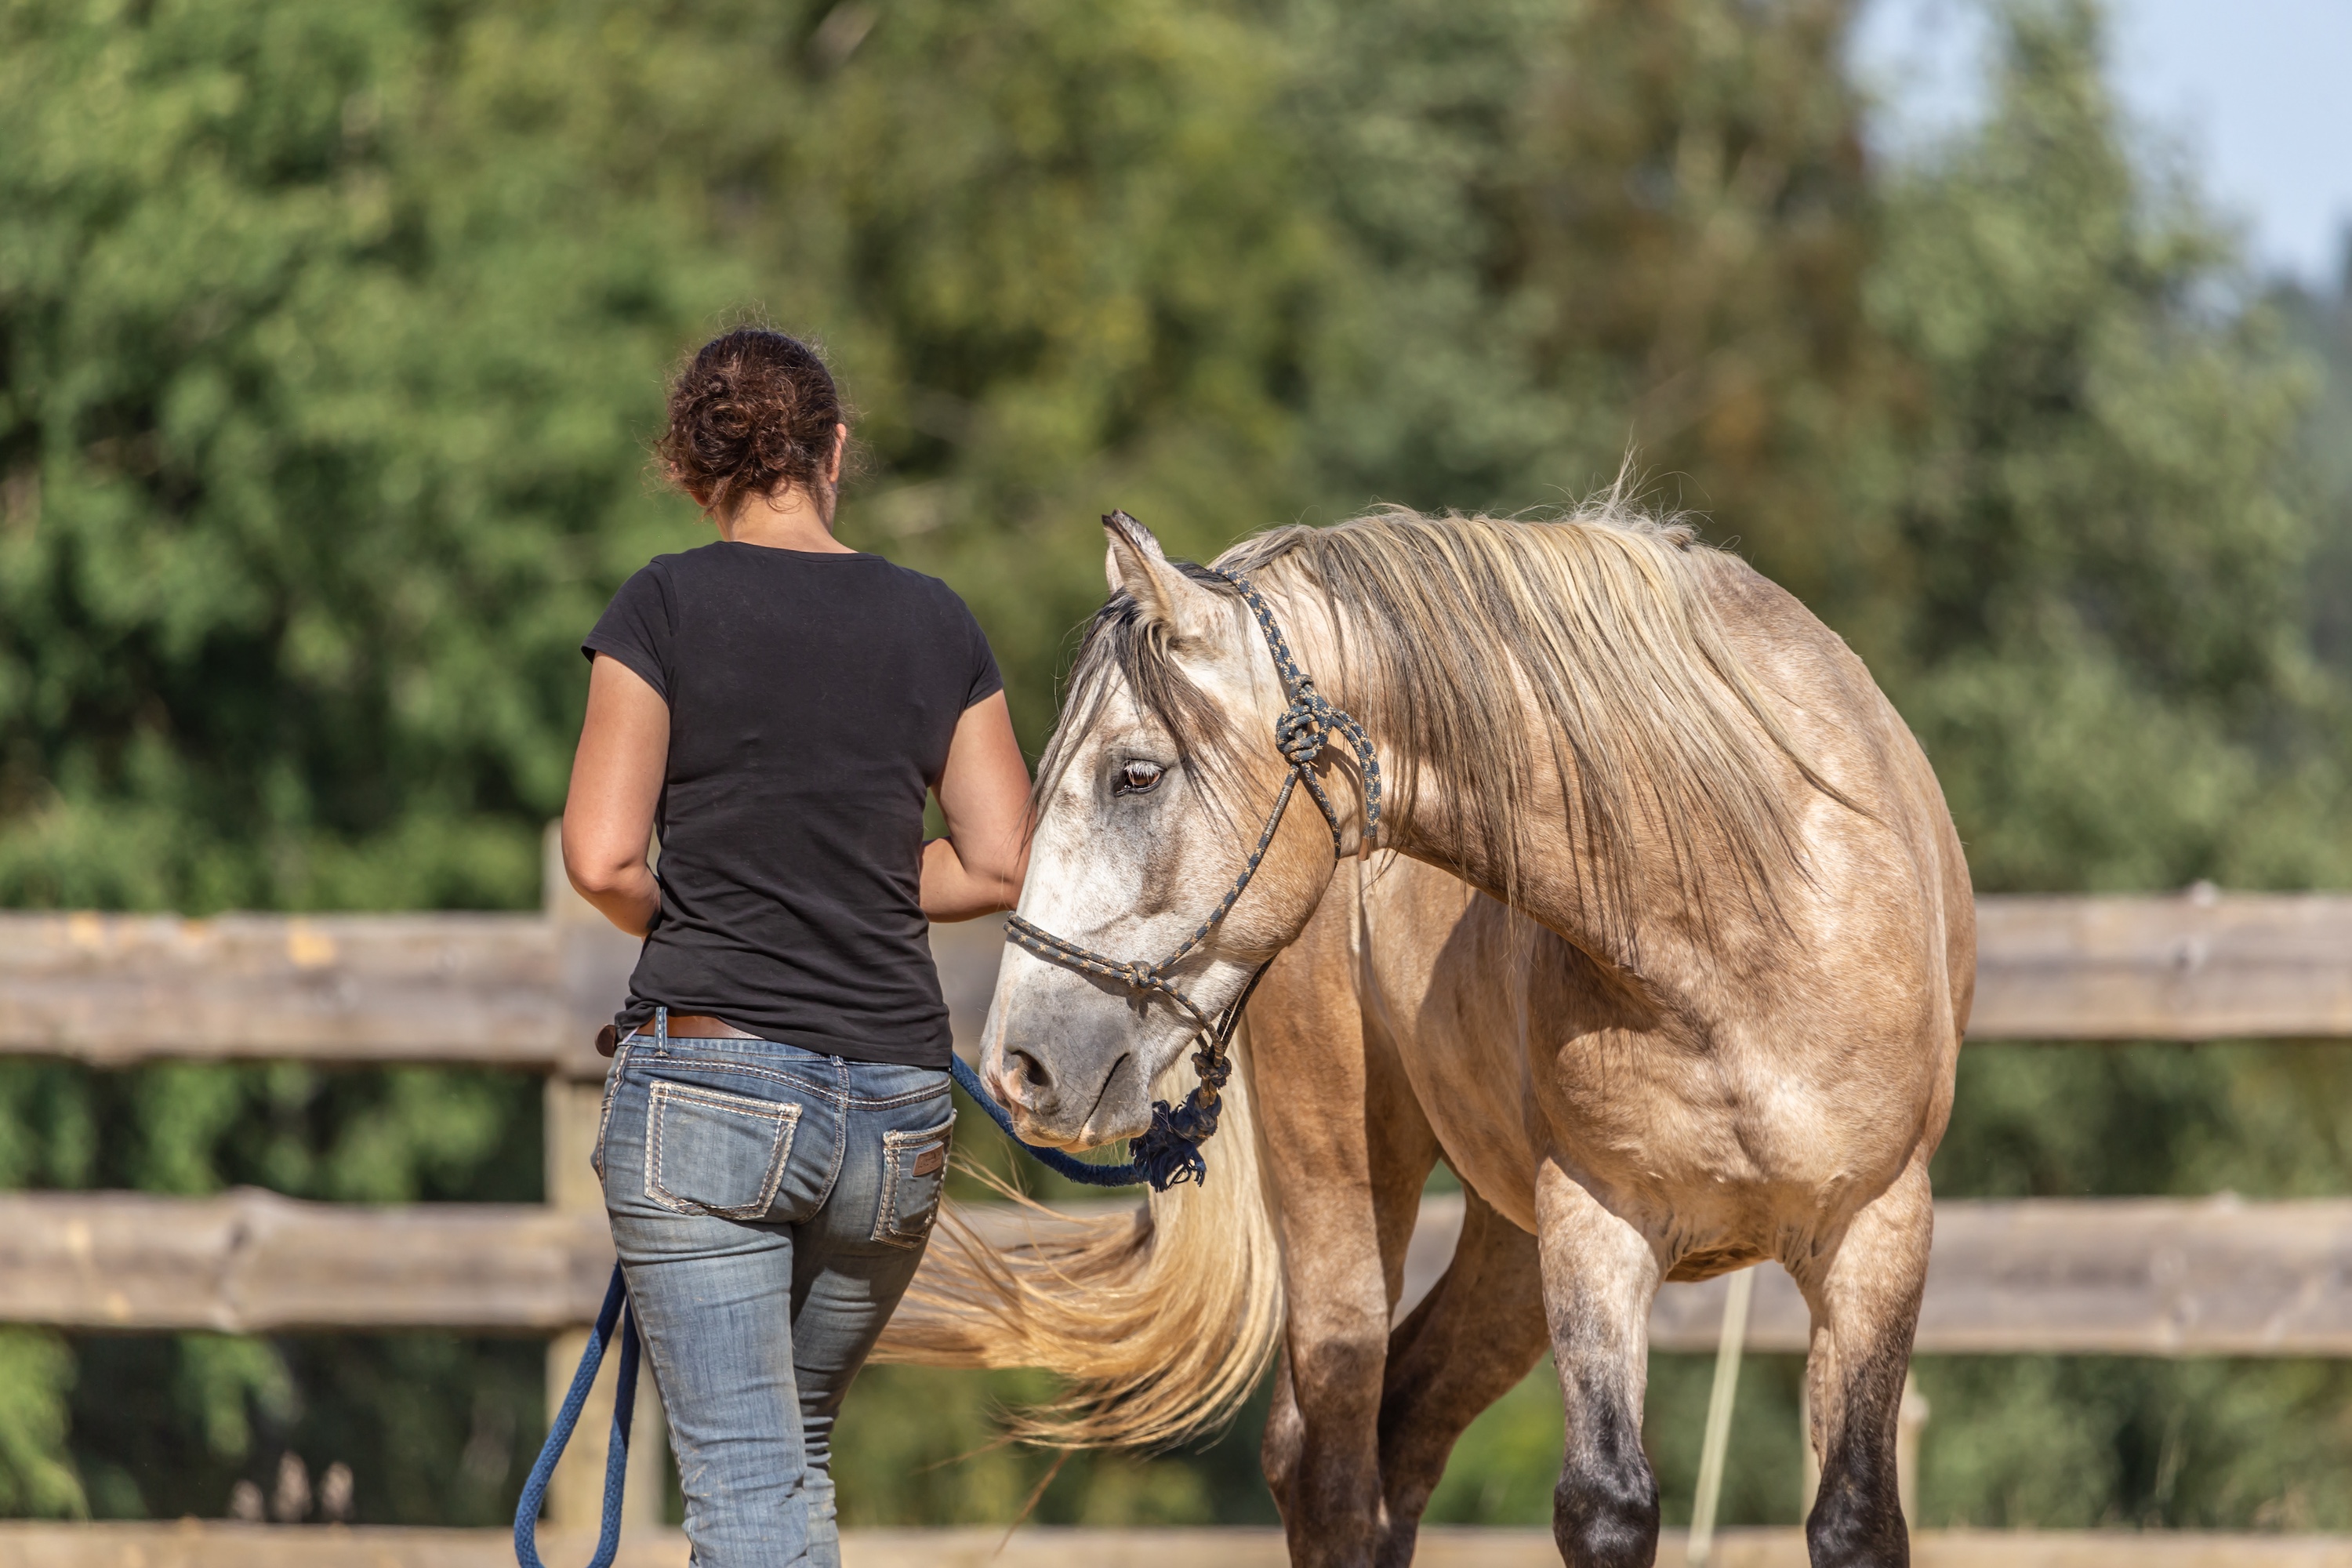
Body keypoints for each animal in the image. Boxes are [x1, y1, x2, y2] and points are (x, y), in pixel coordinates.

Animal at [881, 503, 1971, 1568]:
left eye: (1135, 775)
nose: (1018, 1065)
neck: (1744, 909)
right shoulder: (1595, 1222)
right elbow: (1606, 1504)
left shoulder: (1879, 1229)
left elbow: (1856, 1516)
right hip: (1349, 1192)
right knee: (1330, 1468)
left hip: (1509, 1246)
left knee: (1402, 1429)